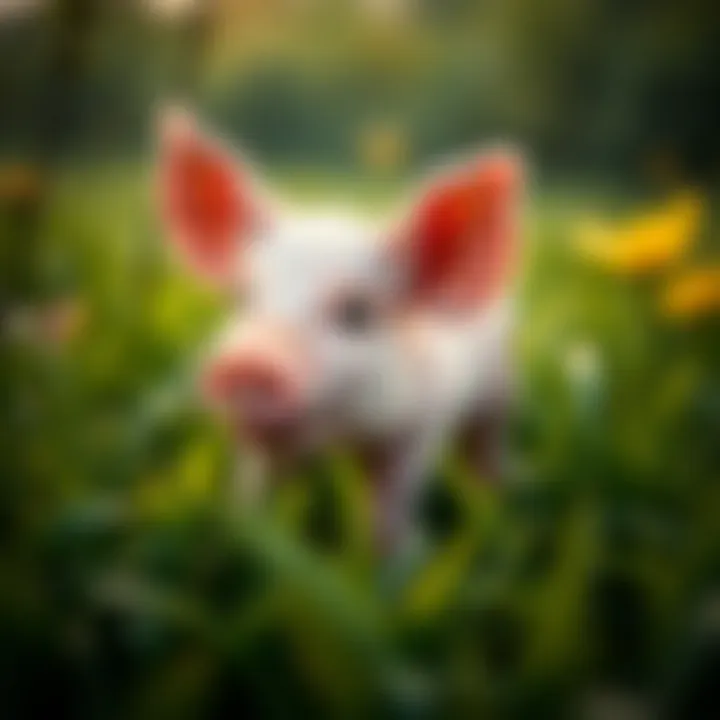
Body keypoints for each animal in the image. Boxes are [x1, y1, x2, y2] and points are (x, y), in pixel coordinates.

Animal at [155, 109, 523, 552]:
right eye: (244, 298)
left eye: (356, 311)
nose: (249, 362)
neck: (341, 437)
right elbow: (253, 494)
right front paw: (242, 531)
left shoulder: (419, 426)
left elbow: (390, 507)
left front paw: (400, 557)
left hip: (499, 388)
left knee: (486, 447)